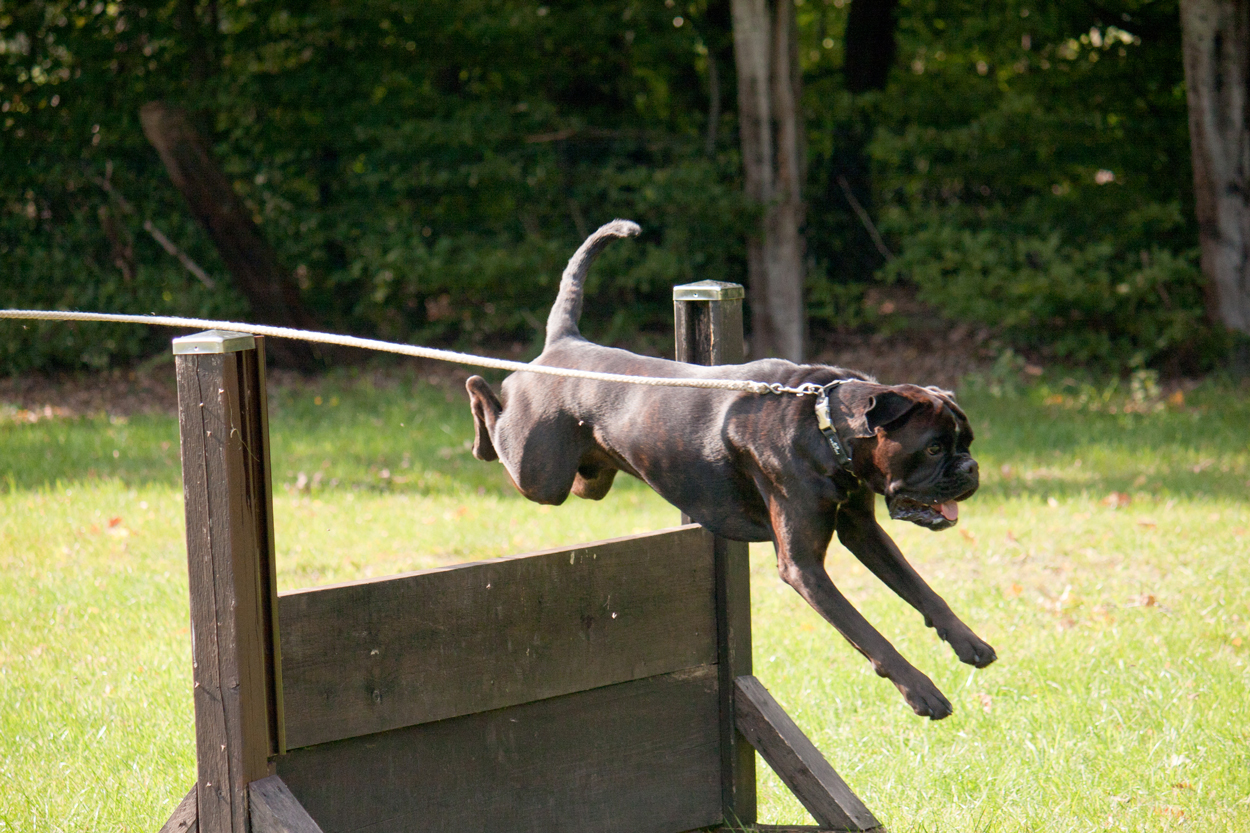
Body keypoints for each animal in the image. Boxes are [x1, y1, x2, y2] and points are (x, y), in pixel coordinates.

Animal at [467, 218, 995, 715]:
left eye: (966, 441)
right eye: (933, 448)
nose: (970, 468)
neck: (825, 428)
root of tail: (564, 343)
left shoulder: (861, 529)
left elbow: (921, 590)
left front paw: (969, 642)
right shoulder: (804, 568)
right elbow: (867, 633)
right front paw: (921, 691)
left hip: (586, 479)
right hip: (539, 473)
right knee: (491, 405)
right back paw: (477, 400)